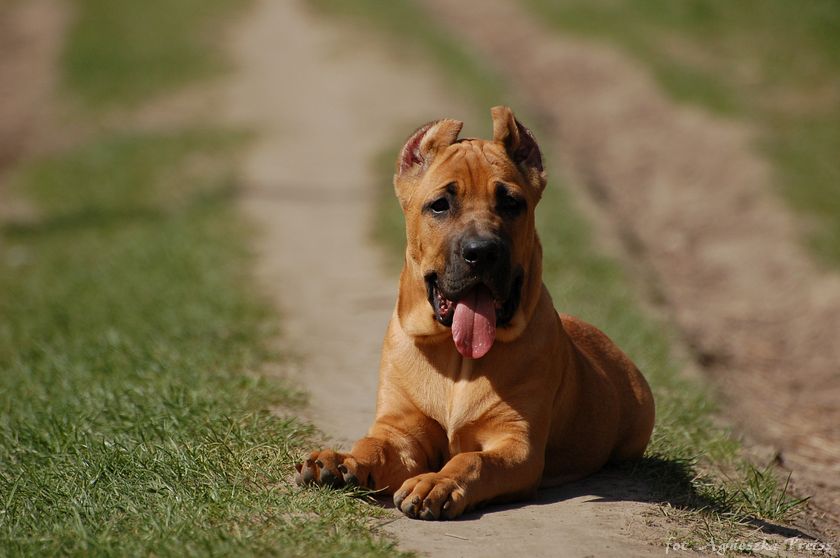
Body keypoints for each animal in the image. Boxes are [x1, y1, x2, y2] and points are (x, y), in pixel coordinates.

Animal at [296, 107, 656, 524]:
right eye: (440, 204)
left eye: (511, 203)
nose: (481, 252)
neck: (456, 359)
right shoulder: (401, 430)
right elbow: (374, 446)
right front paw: (341, 461)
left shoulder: (517, 444)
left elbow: (472, 461)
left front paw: (434, 483)